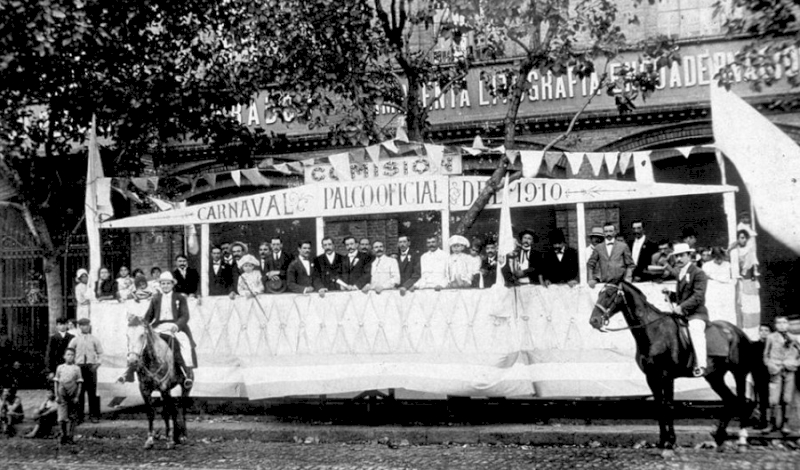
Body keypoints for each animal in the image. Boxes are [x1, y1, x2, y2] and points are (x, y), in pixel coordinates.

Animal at [126, 314, 193, 450]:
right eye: (127, 335)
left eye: (142, 335)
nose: (132, 361)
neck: (153, 360)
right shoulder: (144, 390)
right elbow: (151, 413)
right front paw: (150, 440)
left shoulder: (163, 388)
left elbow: (166, 412)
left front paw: (168, 440)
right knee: (175, 409)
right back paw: (177, 437)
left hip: (184, 388)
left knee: (181, 408)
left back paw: (183, 436)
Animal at [588, 282, 752, 448]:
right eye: (599, 293)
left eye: (609, 294)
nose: (593, 321)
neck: (654, 331)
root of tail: (737, 331)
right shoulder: (651, 377)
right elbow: (659, 407)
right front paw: (662, 440)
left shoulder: (667, 376)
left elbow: (668, 406)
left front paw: (671, 440)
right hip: (714, 376)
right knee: (730, 401)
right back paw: (719, 436)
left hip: (739, 373)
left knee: (742, 402)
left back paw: (741, 438)